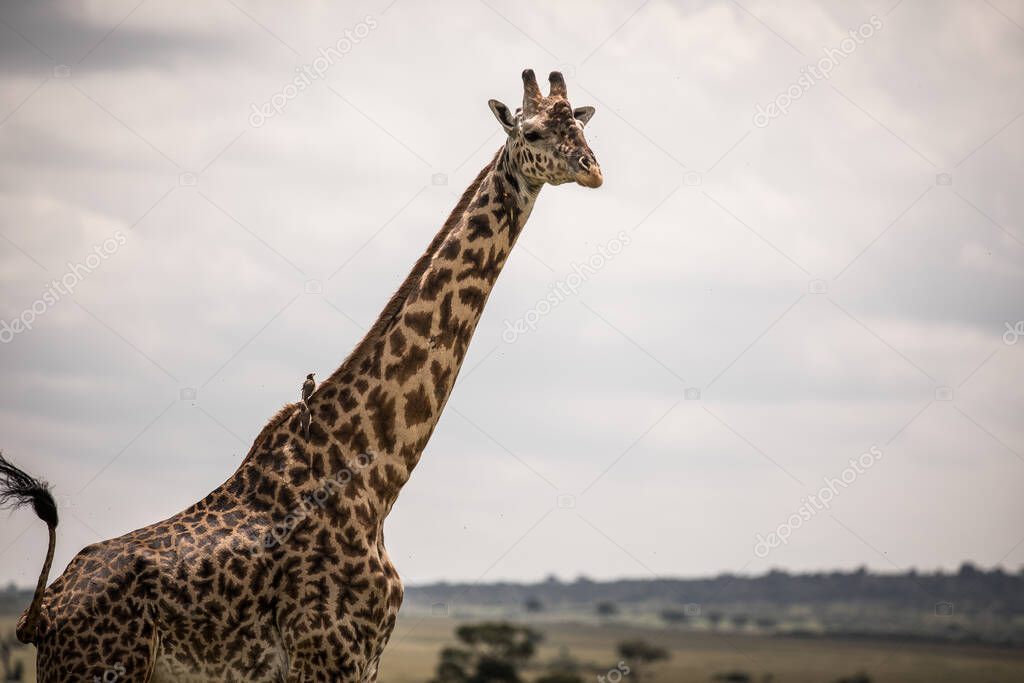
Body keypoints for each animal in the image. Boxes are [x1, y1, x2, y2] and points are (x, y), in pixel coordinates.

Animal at [0, 70, 602, 683]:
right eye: (532, 131)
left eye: (580, 126)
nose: (592, 168)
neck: (375, 473)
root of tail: (43, 616)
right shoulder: (326, 654)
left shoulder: (364, 662)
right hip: (99, 666)